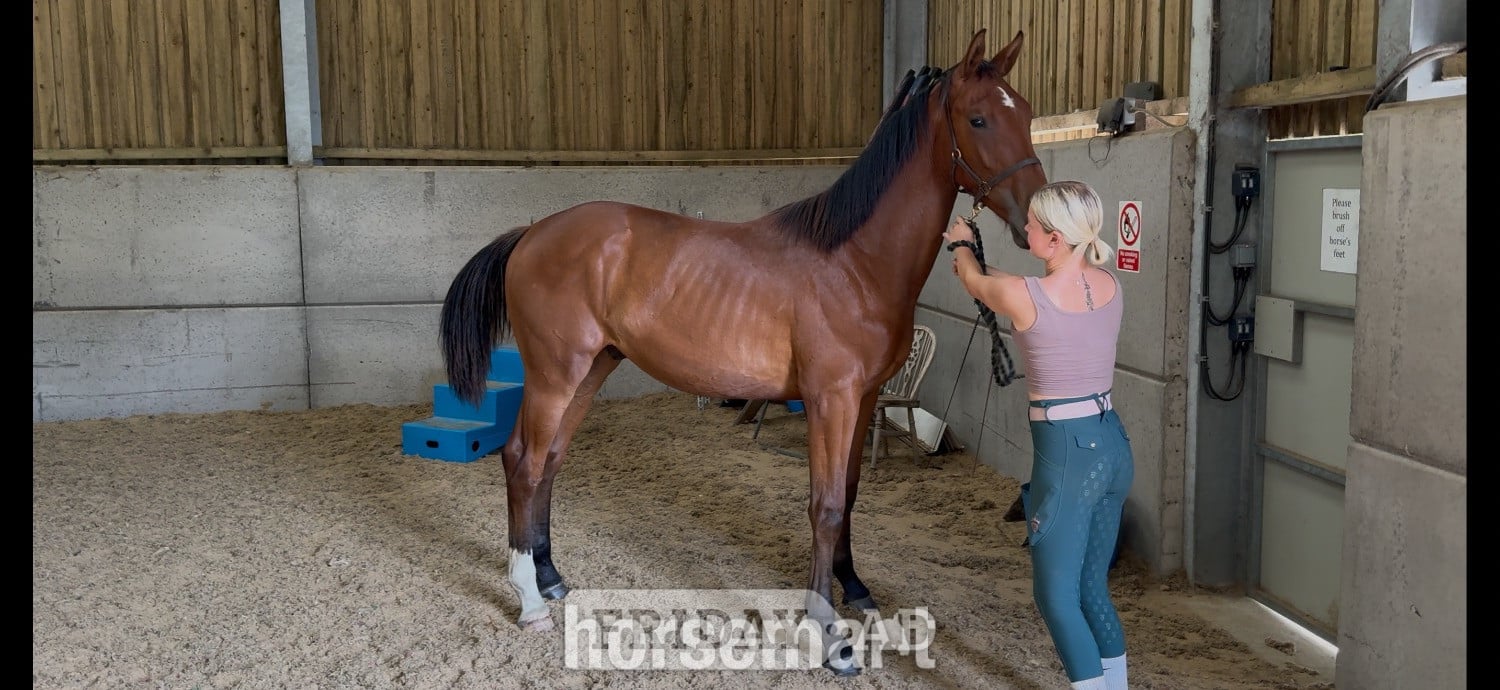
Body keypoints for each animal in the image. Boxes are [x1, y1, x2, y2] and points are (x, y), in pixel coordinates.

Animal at [439, 28, 1046, 675]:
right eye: (979, 119)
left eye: (1027, 112)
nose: (1037, 219)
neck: (854, 262)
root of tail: (531, 234)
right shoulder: (830, 401)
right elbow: (826, 505)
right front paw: (827, 632)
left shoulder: (864, 399)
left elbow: (852, 492)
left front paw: (854, 587)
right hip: (556, 375)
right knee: (524, 461)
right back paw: (529, 598)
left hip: (591, 370)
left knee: (550, 461)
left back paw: (550, 576)